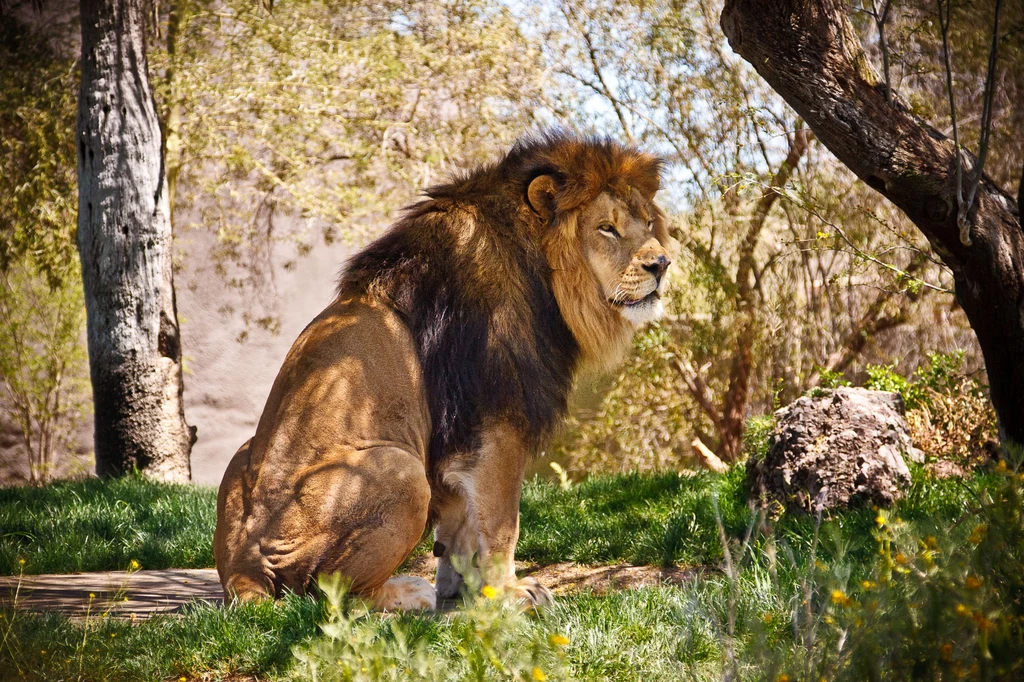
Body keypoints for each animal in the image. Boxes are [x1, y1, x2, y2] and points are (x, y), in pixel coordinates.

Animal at [216, 133, 671, 606]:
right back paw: (407, 593)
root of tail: (242, 567)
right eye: (607, 228)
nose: (661, 264)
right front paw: (510, 592)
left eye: (648, 224)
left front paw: (466, 589)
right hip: (402, 471)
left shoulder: (458, 437)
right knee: (333, 594)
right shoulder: (496, 419)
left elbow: (461, 523)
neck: (543, 272)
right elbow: (502, 521)